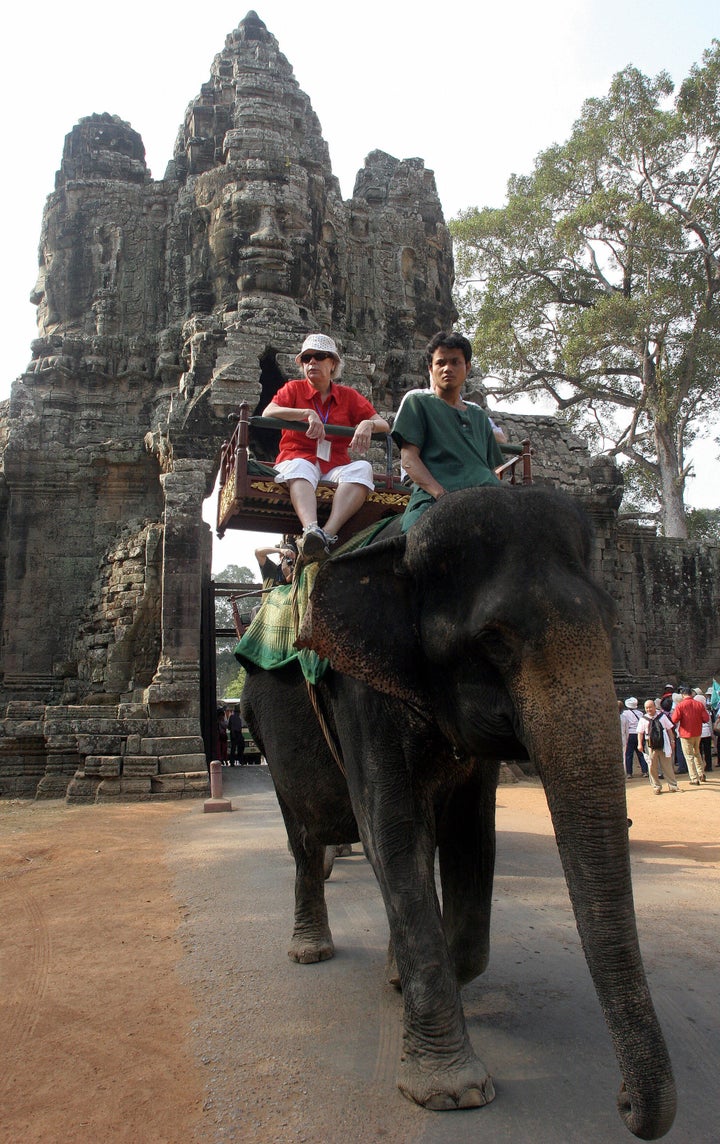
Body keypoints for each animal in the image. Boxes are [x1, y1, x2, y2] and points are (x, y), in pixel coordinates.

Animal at [241, 482, 673, 1134]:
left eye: (611, 623)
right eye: (493, 640)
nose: (623, 1102)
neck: (401, 552)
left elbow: (472, 837)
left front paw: (400, 977)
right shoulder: (357, 689)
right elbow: (393, 834)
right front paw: (451, 1091)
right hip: (260, 730)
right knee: (303, 835)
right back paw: (310, 950)